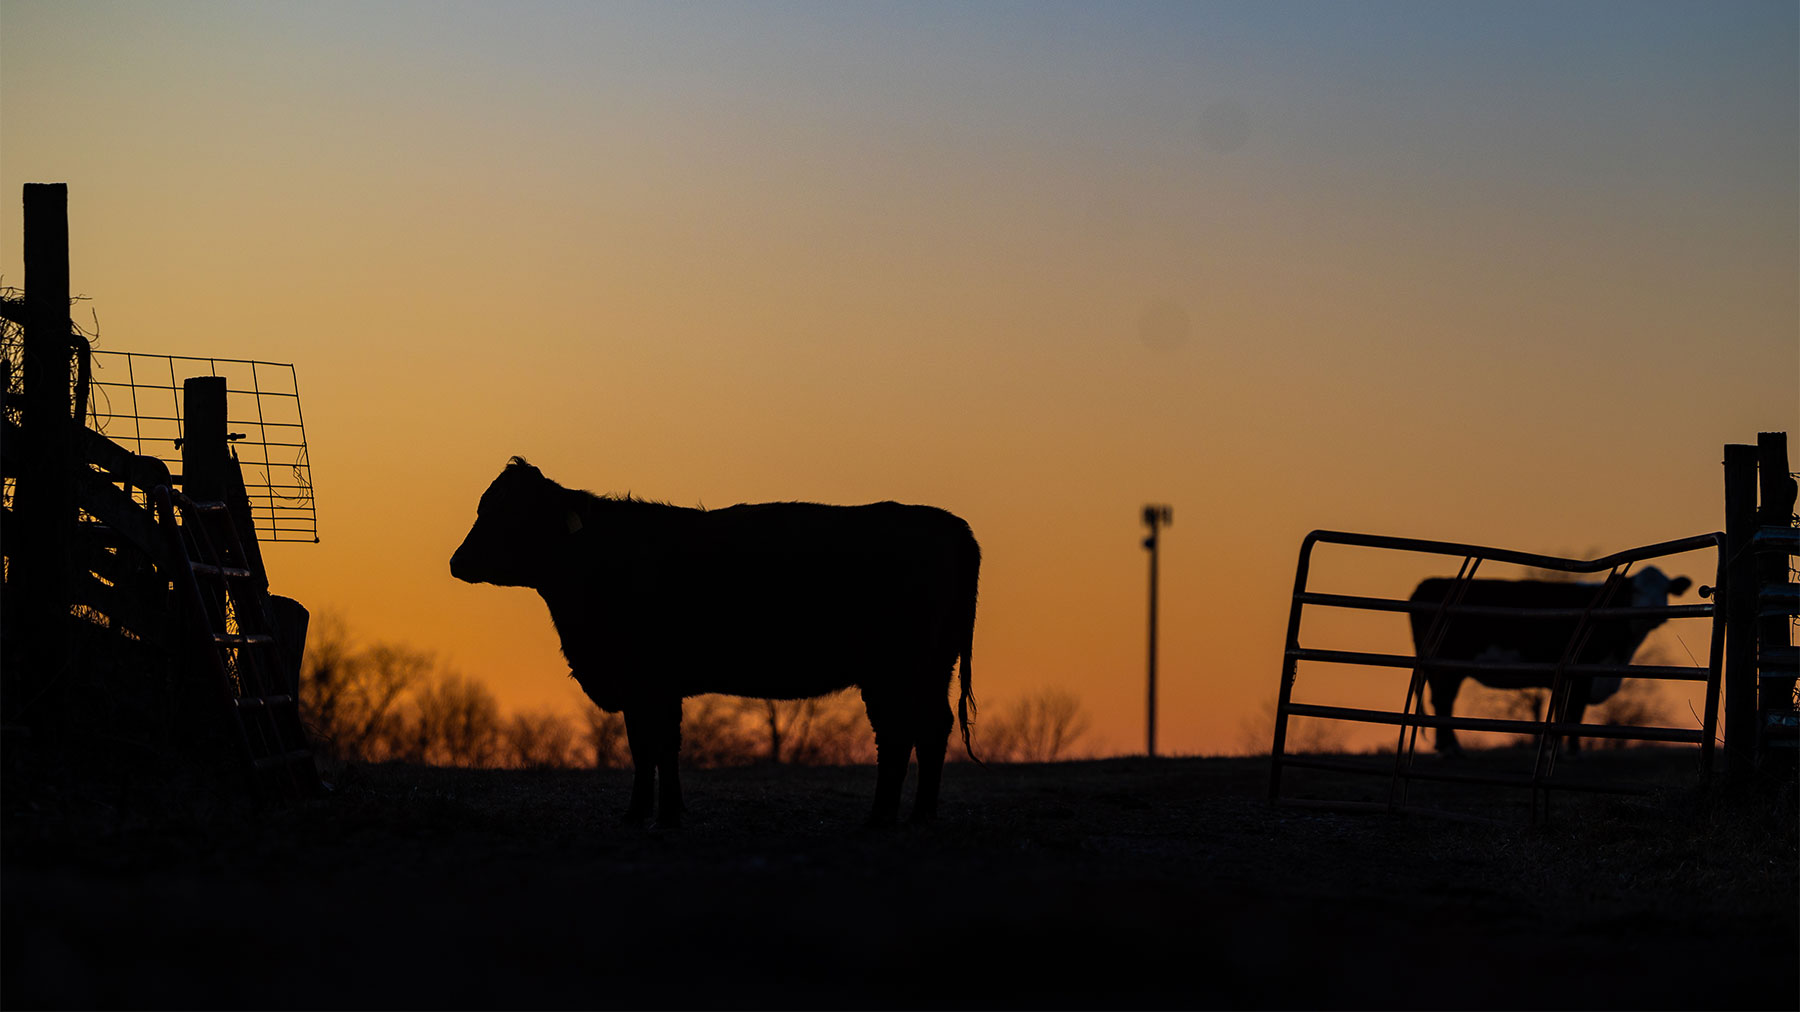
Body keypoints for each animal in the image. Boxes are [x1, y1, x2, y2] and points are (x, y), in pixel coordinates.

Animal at [449, 458, 981, 828]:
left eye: (512, 514)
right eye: (483, 507)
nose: (457, 561)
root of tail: (950, 524)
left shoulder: (649, 681)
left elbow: (658, 745)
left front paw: (660, 816)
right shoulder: (645, 687)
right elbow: (648, 746)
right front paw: (647, 814)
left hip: (898, 669)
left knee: (899, 734)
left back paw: (883, 817)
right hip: (931, 667)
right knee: (930, 729)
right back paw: (917, 816)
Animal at [1407, 567, 1691, 756]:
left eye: (1666, 590)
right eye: (1636, 589)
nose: (1653, 610)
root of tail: (1428, 583)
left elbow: (1562, 714)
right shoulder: (1581, 673)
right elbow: (1573, 714)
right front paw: (1572, 752)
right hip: (1447, 665)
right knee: (1444, 700)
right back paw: (1451, 748)